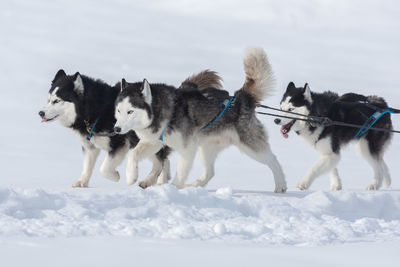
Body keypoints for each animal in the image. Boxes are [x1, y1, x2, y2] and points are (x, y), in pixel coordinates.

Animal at [39, 70, 171, 188]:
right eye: (48, 100)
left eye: (57, 100)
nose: (40, 113)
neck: (94, 110)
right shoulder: (90, 147)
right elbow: (87, 166)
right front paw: (82, 182)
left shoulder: (118, 144)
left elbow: (103, 169)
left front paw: (115, 176)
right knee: (163, 159)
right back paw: (162, 180)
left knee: (160, 161)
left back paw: (150, 180)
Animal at [114, 47, 286, 192]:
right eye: (118, 110)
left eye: (130, 111)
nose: (116, 129)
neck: (165, 110)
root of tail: (241, 97)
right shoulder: (155, 142)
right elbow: (133, 154)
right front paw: (131, 176)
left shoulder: (187, 148)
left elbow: (180, 171)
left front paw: (173, 188)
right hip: (206, 148)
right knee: (209, 172)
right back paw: (193, 186)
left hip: (250, 146)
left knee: (273, 159)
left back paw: (281, 184)